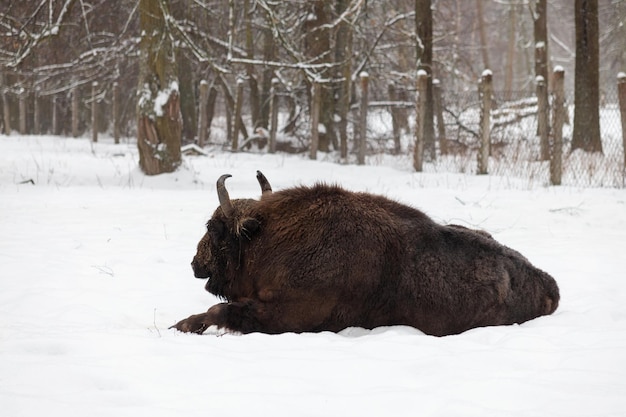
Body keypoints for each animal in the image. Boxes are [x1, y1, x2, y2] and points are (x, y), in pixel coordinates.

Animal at [169, 171, 556, 336]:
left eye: (213, 228)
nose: (195, 263)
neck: (269, 237)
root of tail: (549, 284)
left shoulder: (288, 315)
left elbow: (221, 311)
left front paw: (183, 325)